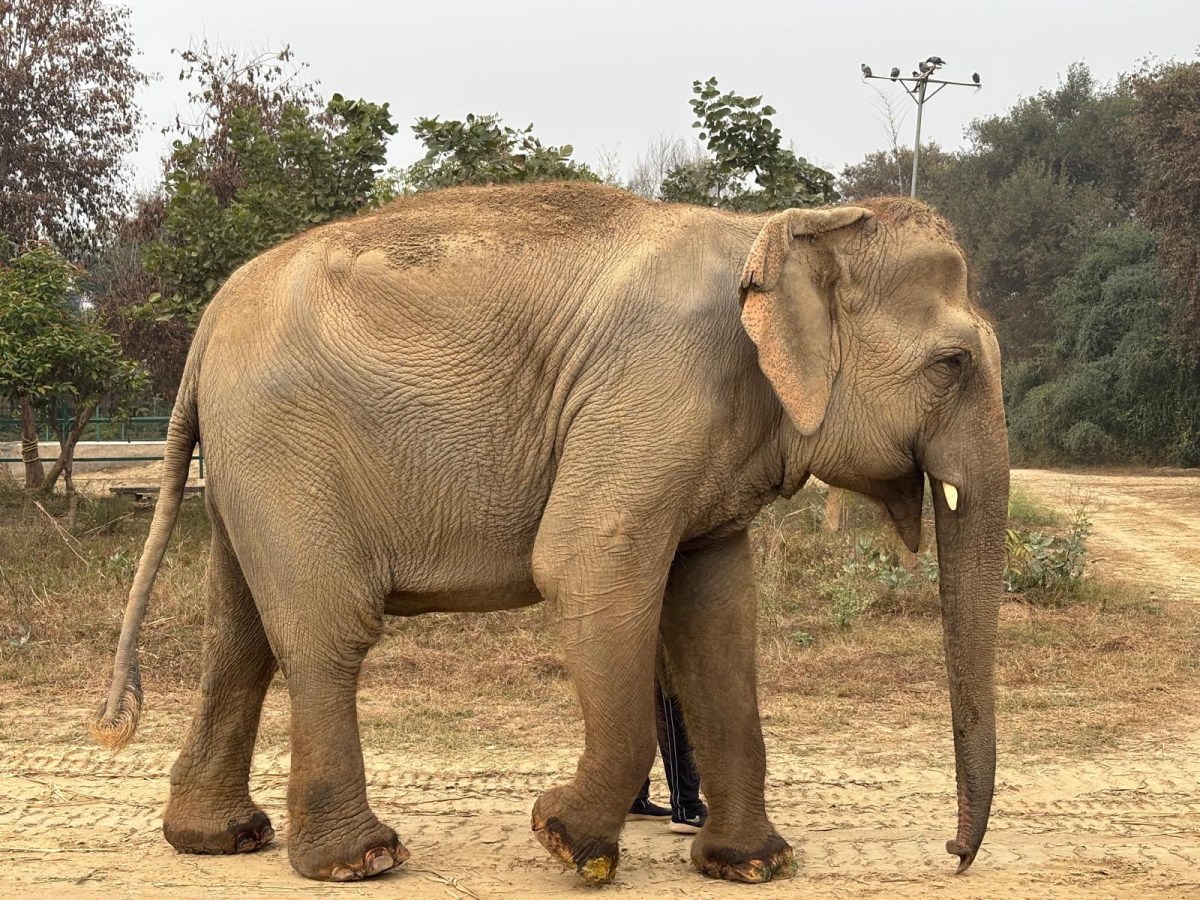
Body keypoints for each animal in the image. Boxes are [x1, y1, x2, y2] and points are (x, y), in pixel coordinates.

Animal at [92, 181, 1008, 886]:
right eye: (954, 363)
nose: (954, 854)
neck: (780, 226)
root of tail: (206, 328)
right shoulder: (654, 386)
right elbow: (582, 562)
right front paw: (568, 843)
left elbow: (717, 615)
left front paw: (754, 866)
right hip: (286, 452)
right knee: (324, 631)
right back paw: (362, 861)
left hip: (249, 470)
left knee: (238, 635)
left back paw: (220, 839)